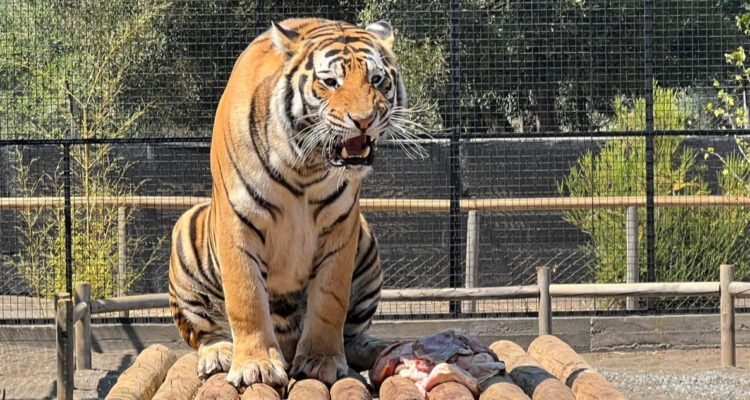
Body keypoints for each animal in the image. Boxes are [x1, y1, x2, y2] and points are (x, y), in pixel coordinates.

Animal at [168, 18, 407, 388]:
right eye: (330, 82)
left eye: (377, 80)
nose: (364, 120)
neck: (306, 164)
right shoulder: (237, 219)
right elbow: (246, 297)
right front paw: (255, 365)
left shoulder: (342, 224)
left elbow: (330, 301)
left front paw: (321, 361)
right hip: (187, 234)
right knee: (205, 331)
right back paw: (219, 354)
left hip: (367, 244)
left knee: (353, 336)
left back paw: (386, 349)